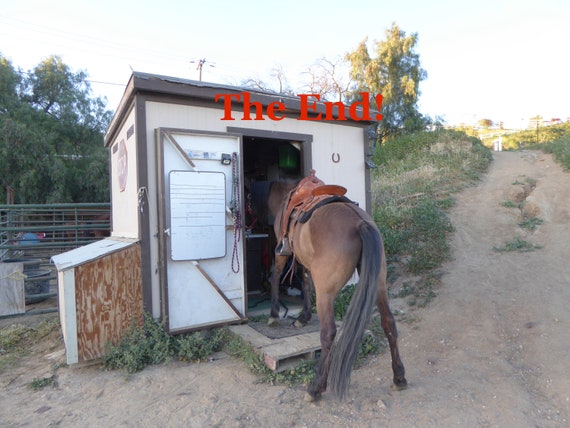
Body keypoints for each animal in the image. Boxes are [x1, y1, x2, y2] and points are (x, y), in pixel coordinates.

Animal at [260, 171, 404, 402]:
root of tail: (359, 223)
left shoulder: (283, 251)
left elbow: (276, 277)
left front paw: (274, 314)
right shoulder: (305, 261)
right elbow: (305, 283)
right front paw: (303, 317)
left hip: (326, 293)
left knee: (328, 334)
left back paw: (316, 388)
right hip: (379, 283)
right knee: (388, 322)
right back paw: (399, 377)